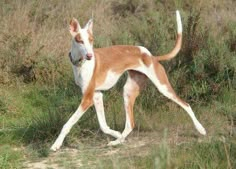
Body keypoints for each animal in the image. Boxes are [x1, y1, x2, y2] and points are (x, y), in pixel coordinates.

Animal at [50, 10, 206, 151]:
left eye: (91, 40)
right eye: (80, 41)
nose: (89, 56)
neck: (80, 64)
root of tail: (152, 56)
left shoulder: (87, 99)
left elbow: (68, 124)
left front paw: (56, 145)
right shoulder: (97, 95)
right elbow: (103, 125)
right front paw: (116, 135)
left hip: (163, 87)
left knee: (186, 105)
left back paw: (200, 129)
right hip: (128, 91)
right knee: (130, 123)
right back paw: (117, 141)